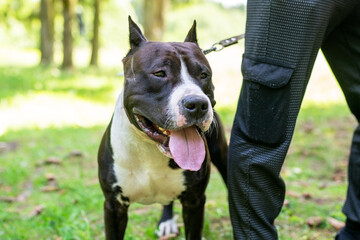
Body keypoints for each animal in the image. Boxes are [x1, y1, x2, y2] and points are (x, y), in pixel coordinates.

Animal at [97, 16, 228, 238]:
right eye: (159, 73)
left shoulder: (194, 201)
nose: (197, 104)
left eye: (204, 75)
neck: (150, 149)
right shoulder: (114, 206)